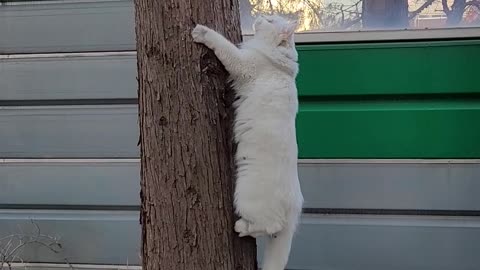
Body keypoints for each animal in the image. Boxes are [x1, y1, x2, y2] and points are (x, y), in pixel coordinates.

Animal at [192, 14, 302, 270]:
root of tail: (295, 202)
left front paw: (200, 32)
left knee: (269, 226)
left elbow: (221, 44)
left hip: (246, 196)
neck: (282, 67)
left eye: (270, 20)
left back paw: (241, 227)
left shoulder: (243, 64)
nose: (260, 17)